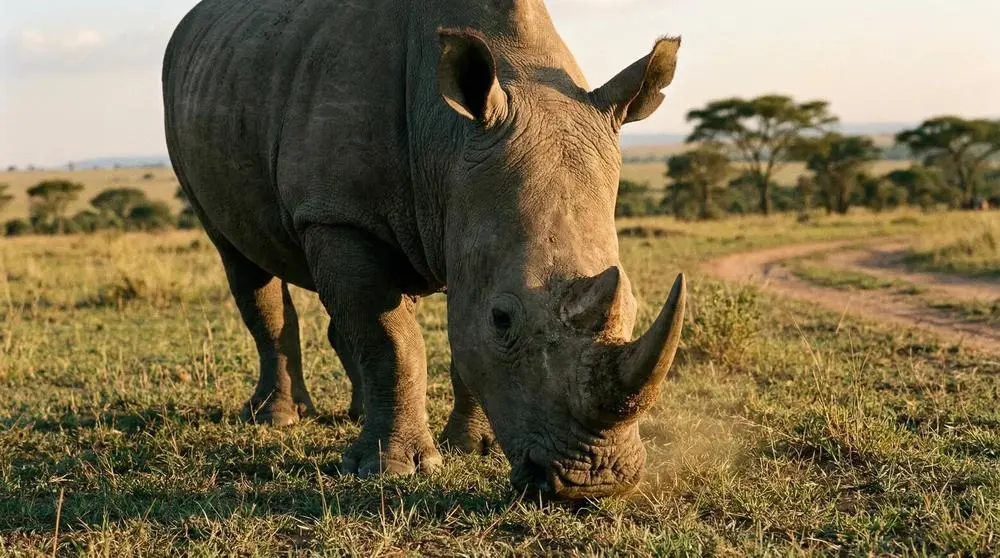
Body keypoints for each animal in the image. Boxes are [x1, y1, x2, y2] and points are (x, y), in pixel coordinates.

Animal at [163, 0, 686, 500]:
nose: (596, 481)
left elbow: (448, 334)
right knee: (242, 260)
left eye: (634, 305)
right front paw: (392, 469)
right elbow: (390, 339)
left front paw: (474, 447)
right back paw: (277, 418)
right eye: (503, 320)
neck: (449, 141)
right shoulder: (337, 213)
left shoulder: (463, 211)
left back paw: (356, 415)